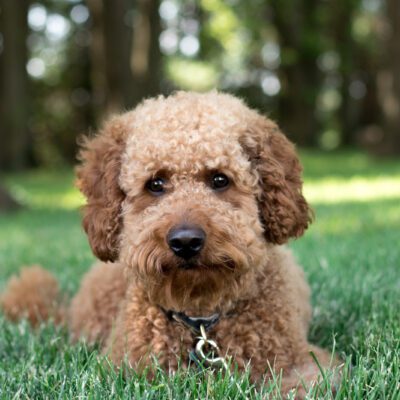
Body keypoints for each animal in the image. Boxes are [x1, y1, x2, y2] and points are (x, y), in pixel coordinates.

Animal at [0, 91, 340, 396]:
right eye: (155, 184)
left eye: (220, 180)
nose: (185, 241)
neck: (200, 319)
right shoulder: (120, 369)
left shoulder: (305, 365)